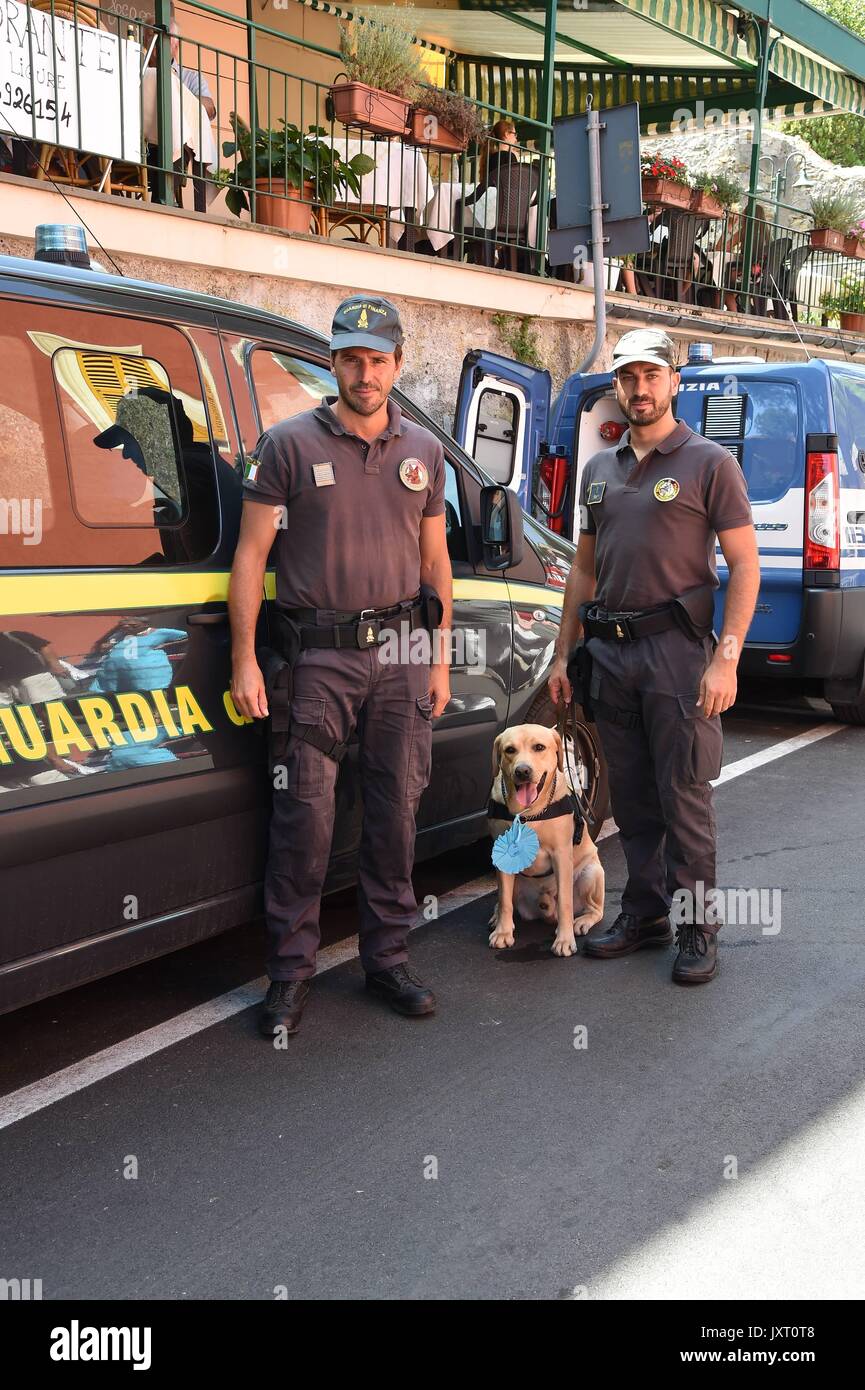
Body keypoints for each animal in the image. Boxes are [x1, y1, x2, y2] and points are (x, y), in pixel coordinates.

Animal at [492, 728, 606, 956]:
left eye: (539, 747)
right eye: (510, 750)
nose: (523, 771)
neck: (528, 813)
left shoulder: (561, 855)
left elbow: (564, 903)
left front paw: (564, 940)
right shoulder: (502, 857)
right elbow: (504, 900)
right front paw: (503, 932)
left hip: (591, 873)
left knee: (595, 909)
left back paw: (581, 921)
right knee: (505, 899)